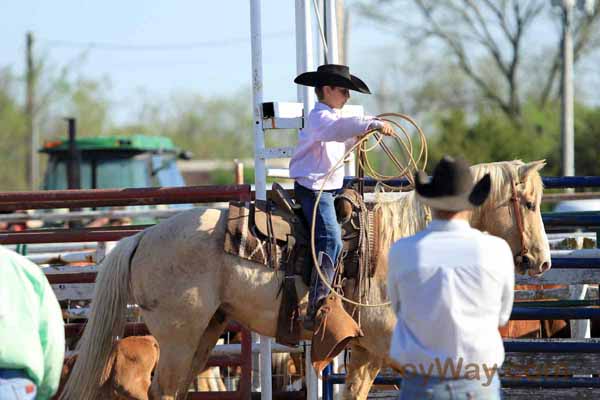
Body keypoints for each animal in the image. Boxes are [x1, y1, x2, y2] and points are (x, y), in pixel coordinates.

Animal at [62, 160, 552, 400]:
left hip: (206, 330)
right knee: (162, 390)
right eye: (528, 203)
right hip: (179, 335)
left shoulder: (367, 351)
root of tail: (141, 237)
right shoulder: (388, 342)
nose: (544, 261)